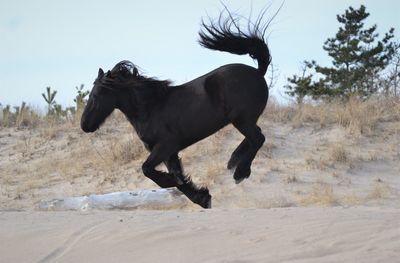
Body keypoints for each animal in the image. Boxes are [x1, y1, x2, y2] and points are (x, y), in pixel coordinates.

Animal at [79, 10, 270, 209]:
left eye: (96, 95)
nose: (85, 125)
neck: (150, 107)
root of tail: (258, 72)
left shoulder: (166, 145)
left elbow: (147, 169)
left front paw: (173, 182)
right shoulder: (168, 153)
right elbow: (179, 180)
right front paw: (202, 197)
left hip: (241, 119)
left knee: (258, 138)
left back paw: (240, 172)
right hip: (243, 120)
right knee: (254, 137)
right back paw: (233, 161)